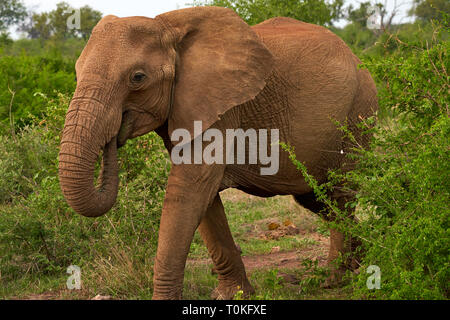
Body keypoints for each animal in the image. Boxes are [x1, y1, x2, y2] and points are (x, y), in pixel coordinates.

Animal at [58, 5, 378, 300]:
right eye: (76, 72)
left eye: (137, 77)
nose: (115, 136)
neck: (167, 26)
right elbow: (204, 198)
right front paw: (234, 294)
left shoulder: (222, 106)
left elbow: (190, 187)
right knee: (318, 198)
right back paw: (360, 256)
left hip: (358, 112)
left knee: (339, 192)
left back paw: (334, 279)